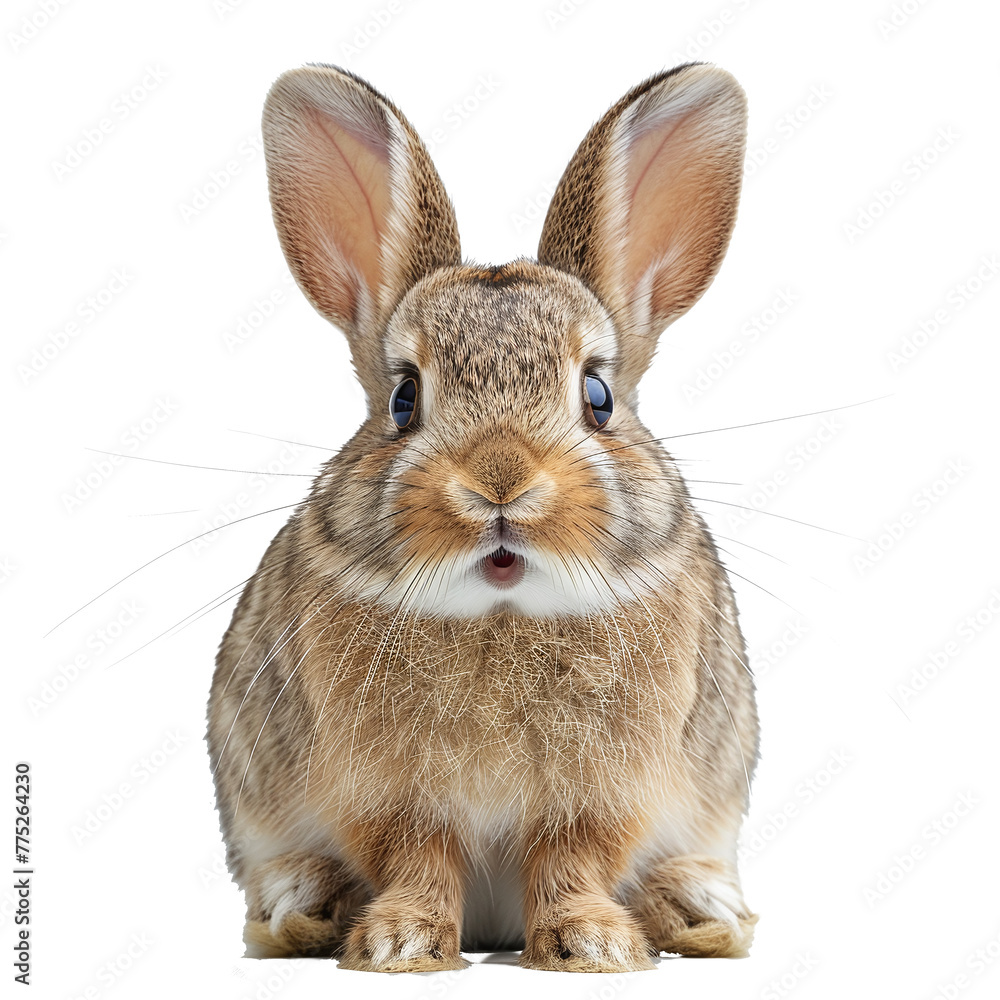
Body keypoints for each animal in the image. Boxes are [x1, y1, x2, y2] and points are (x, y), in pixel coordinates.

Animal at [207, 60, 759, 973]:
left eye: (598, 395)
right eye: (404, 399)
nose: (500, 483)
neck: (502, 613)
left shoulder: (602, 797)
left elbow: (573, 861)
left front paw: (592, 946)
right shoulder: (390, 796)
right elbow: (418, 858)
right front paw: (400, 945)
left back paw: (697, 907)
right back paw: (302, 905)